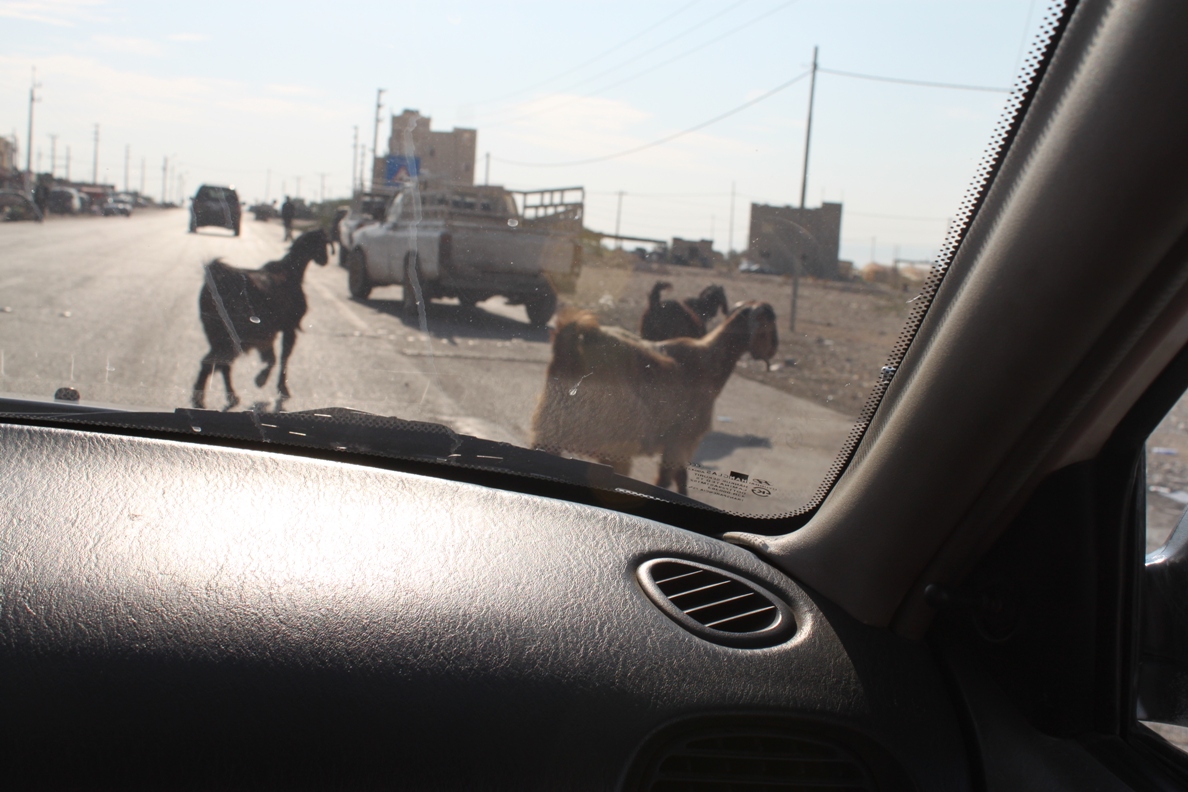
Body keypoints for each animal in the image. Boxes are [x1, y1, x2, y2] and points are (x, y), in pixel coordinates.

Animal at [191, 229, 330, 413]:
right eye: (323, 243)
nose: (325, 260)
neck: (292, 272)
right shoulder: (289, 327)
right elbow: (283, 356)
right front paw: (270, 384)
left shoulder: (267, 333)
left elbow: (273, 356)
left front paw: (264, 381)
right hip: (228, 334)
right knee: (214, 362)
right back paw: (203, 401)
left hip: (217, 333)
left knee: (220, 363)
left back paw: (226, 397)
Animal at [532, 300, 779, 491]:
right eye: (769, 326)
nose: (774, 349)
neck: (710, 362)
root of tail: (571, 341)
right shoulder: (681, 440)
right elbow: (672, 479)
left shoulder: (676, 442)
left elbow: (675, 477)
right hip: (611, 436)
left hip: (552, 426)